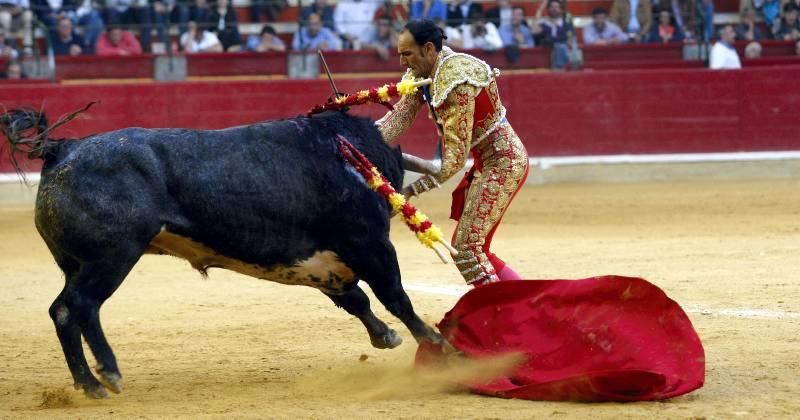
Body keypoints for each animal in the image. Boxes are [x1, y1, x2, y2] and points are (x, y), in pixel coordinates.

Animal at [0, 106, 444, 398]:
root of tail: (63, 149)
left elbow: (357, 299)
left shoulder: (320, 263)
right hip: (111, 257)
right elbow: (395, 295)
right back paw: (107, 373)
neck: (350, 154)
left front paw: (387, 337)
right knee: (81, 306)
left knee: (62, 309)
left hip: (75, 264)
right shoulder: (369, 242)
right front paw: (437, 343)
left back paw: (88, 383)